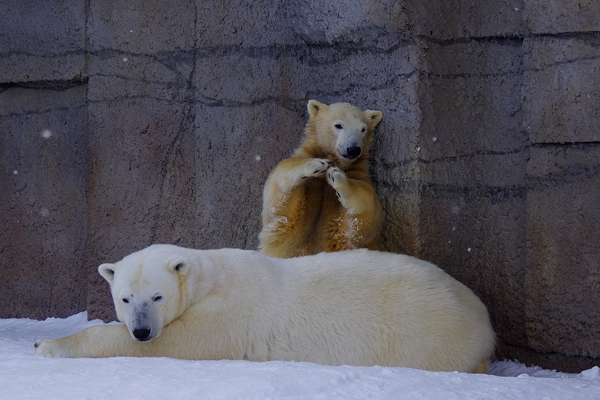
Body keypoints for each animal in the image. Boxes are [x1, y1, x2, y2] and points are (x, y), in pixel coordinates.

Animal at [35, 245, 494, 374]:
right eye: (126, 298)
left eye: (157, 296)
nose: (142, 330)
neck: (209, 279)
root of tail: (483, 317)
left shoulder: (226, 318)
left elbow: (181, 344)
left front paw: (45, 344)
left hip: (425, 331)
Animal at [258, 99, 382, 256]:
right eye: (338, 125)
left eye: (363, 129)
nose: (353, 149)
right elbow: (279, 200)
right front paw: (317, 164)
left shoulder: (358, 174)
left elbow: (366, 213)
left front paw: (337, 177)